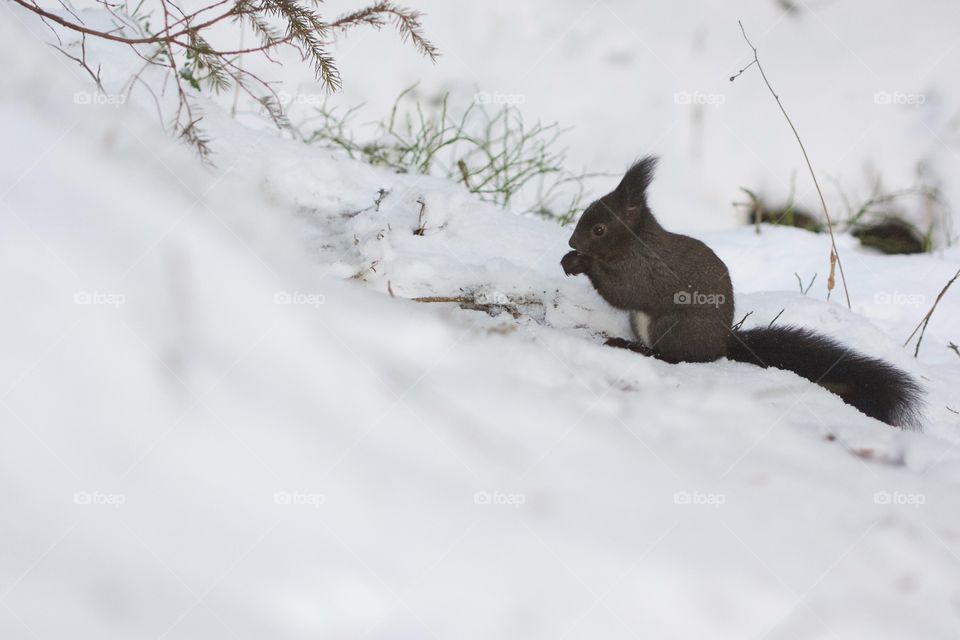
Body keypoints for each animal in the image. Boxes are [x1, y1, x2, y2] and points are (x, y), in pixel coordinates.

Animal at [561, 157, 922, 429]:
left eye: (599, 229)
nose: (572, 242)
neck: (634, 244)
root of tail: (723, 344)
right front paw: (570, 258)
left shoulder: (647, 272)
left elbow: (623, 292)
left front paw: (581, 262)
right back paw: (627, 343)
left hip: (674, 326)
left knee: (681, 357)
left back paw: (646, 352)